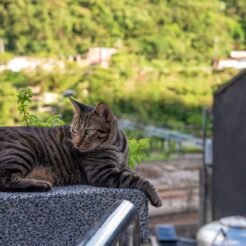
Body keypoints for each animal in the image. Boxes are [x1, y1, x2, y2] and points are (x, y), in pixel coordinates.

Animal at [0, 99, 161, 207]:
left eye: (88, 131)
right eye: (74, 130)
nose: (76, 143)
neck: (116, 145)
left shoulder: (124, 165)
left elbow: (138, 175)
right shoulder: (103, 173)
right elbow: (139, 180)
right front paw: (155, 196)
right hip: (24, 149)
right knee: (5, 181)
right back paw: (41, 185)